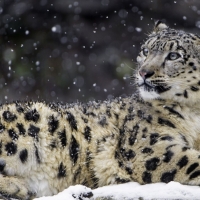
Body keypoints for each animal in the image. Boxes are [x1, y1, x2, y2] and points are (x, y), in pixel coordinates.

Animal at [0, 21, 200, 199]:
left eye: (173, 55)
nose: (144, 72)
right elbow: (192, 161)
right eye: (146, 51)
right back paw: (18, 186)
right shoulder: (150, 148)